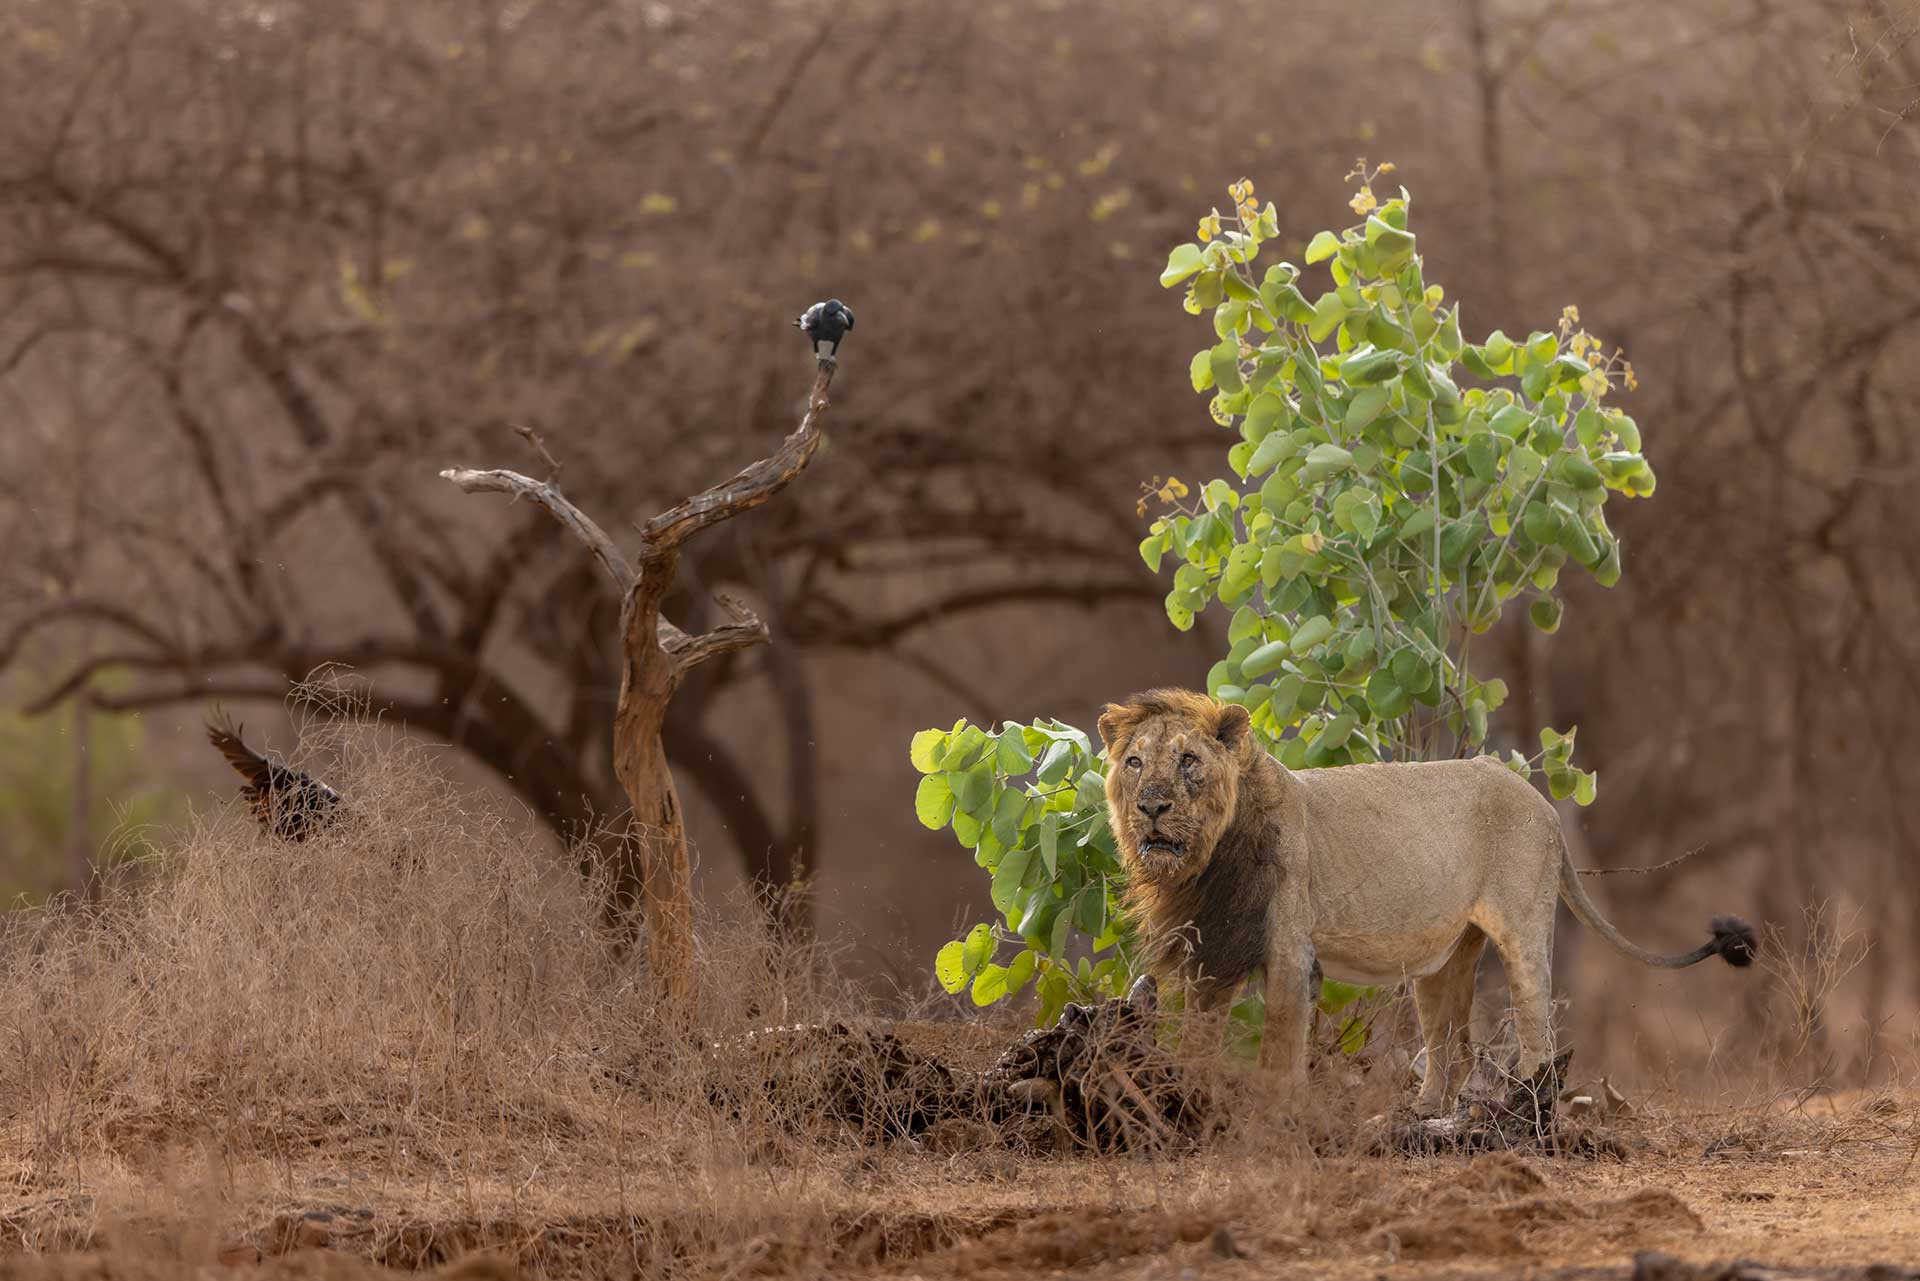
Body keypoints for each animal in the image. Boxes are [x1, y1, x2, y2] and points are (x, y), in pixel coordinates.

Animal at [1097, 687, 1755, 1115]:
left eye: (1188, 761)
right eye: (1134, 763)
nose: (1152, 806)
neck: (1203, 864)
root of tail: (1540, 800)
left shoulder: (1288, 950)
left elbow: (1279, 1046)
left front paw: (1274, 1115)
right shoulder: (1211, 951)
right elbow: (1197, 1041)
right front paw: (1190, 1104)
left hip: (1522, 929)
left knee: (1537, 1031)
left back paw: (1524, 1116)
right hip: (1446, 959)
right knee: (1452, 1051)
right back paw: (1418, 1117)